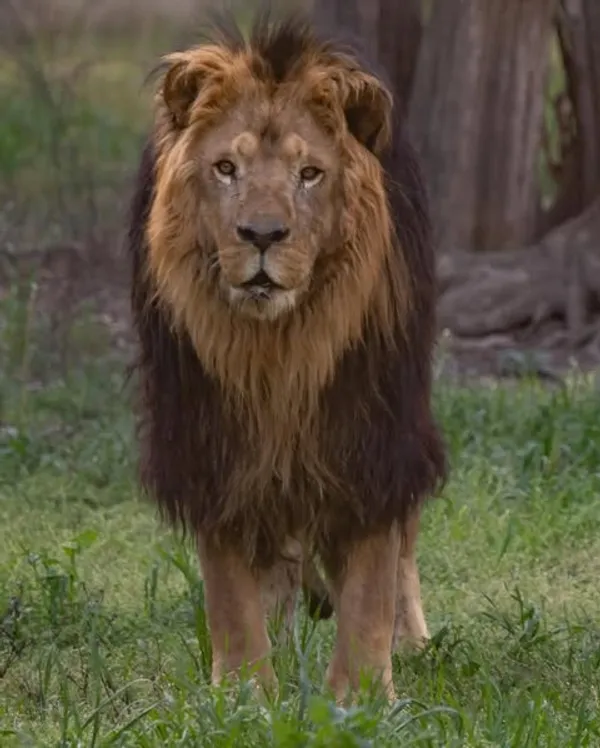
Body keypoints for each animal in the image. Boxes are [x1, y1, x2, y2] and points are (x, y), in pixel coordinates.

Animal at [127, 8, 446, 703]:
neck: (278, 348)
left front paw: (359, 697)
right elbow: (229, 591)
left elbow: (372, 584)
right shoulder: (212, 445)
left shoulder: (371, 439)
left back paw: (410, 641)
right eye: (226, 169)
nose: (263, 235)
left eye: (310, 174)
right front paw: (245, 693)